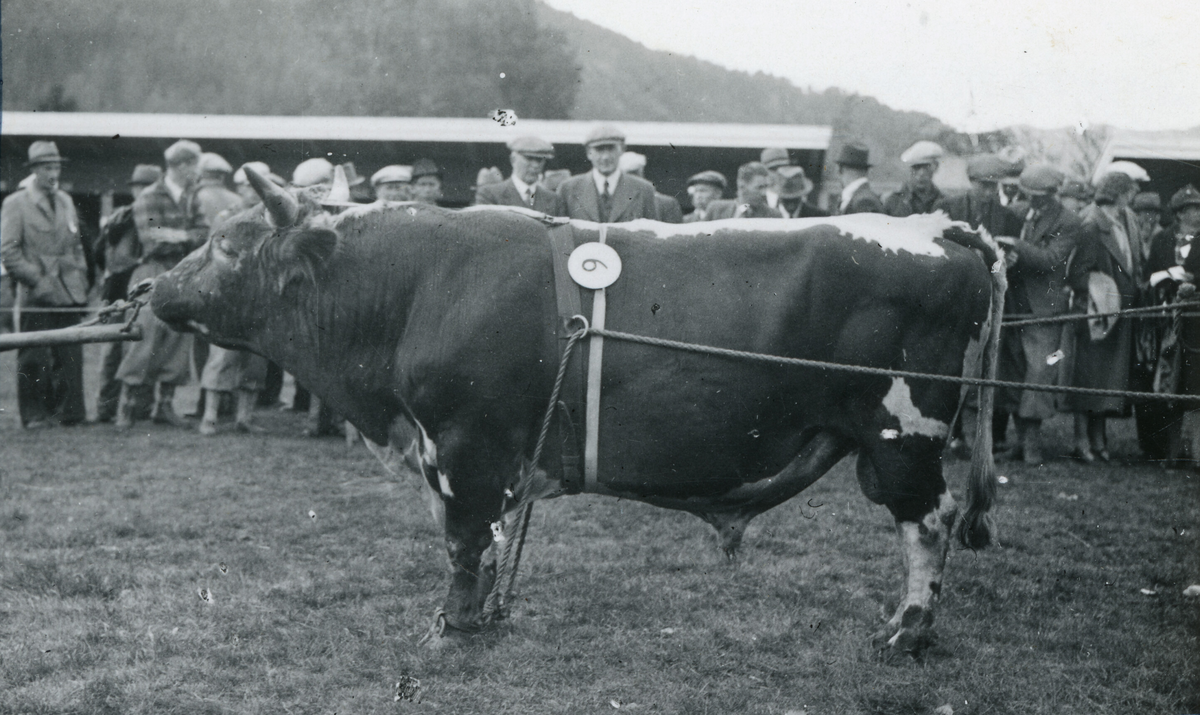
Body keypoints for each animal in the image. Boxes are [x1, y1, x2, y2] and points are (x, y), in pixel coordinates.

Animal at [154, 167, 1008, 652]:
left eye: (227, 243)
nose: (149, 288)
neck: (417, 283)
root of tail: (937, 227)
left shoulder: (465, 445)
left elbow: (464, 541)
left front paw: (450, 630)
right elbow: (483, 545)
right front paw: (477, 619)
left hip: (903, 434)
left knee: (926, 523)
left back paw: (906, 629)